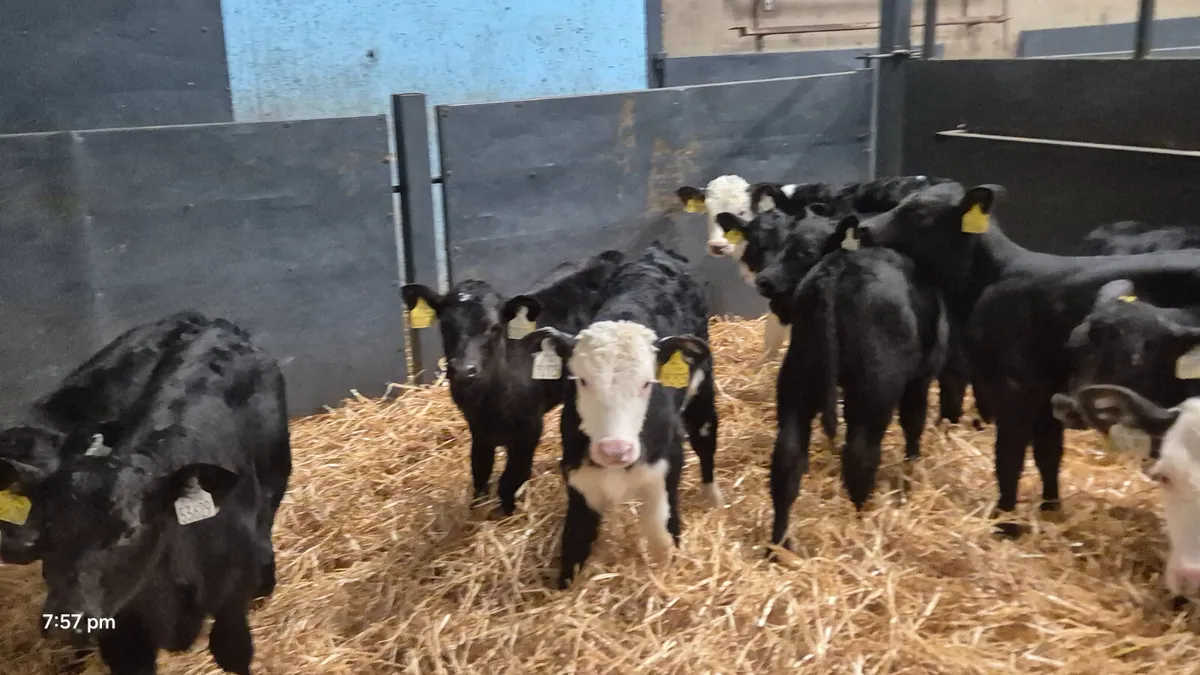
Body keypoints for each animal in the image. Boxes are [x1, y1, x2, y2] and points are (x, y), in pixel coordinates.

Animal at [400, 250, 624, 516]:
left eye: (494, 327)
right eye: (444, 325)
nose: (464, 370)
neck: (491, 398)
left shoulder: (529, 429)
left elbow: (511, 479)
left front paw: (507, 513)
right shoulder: (479, 429)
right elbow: (480, 469)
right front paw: (476, 510)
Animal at [526, 242, 718, 589]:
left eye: (647, 383)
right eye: (581, 380)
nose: (615, 450)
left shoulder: (665, 468)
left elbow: (661, 535)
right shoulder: (579, 476)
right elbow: (575, 540)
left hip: (702, 391)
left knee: (706, 437)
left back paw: (713, 498)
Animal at [751, 219, 948, 548]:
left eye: (802, 250)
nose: (763, 281)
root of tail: (836, 270)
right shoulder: (920, 378)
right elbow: (914, 424)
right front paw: (910, 472)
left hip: (797, 381)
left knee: (787, 460)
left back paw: (780, 545)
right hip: (874, 390)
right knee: (859, 456)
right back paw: (863, 522)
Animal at [848, 180, 1200, 537]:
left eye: (918, 212)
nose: (864, 228)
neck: (990, 279)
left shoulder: (1013, 385)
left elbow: (1009, 455)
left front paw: (1004, 519)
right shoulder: (1047, 390)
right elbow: (1048, 453)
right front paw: (1050, 509)